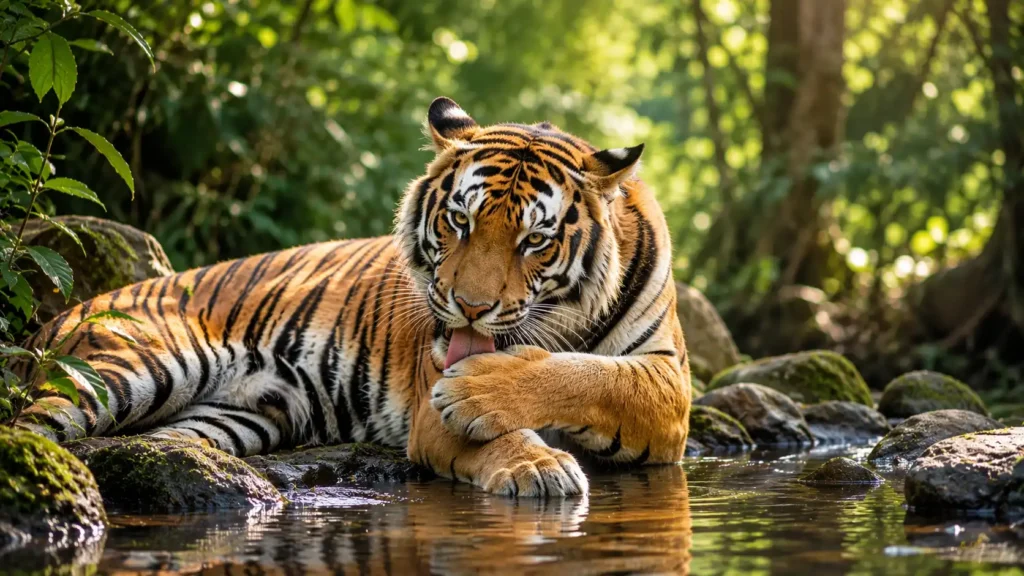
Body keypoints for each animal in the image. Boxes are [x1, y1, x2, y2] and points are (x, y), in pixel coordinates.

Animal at [16, 97, 692, 497]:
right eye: (460, 220)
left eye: (534, 241)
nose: (470, 307)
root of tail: (58, 317)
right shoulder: (427, 408)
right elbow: (499, 422)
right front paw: (537, 464)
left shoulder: (670, 378)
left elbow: (594, 375)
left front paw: (486, 392)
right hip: (128, 366)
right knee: (31, 422)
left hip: (231, 418)